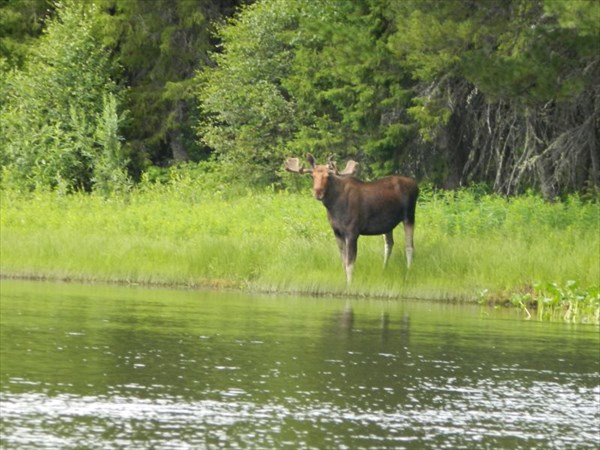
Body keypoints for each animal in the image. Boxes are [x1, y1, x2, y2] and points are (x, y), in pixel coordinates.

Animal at [284, 153, 418, 284]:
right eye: (312, 176)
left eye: (328, 176)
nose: (318, 193)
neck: (334, 207)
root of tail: (416, 185)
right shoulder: (337, 232)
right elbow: (343, 262)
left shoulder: (352, 232)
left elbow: (350, 263)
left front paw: (349, 284)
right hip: (388, 225)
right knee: (389, 244)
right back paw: (384, 270)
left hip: (409, 216)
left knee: (409, 246)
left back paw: (408, 274)